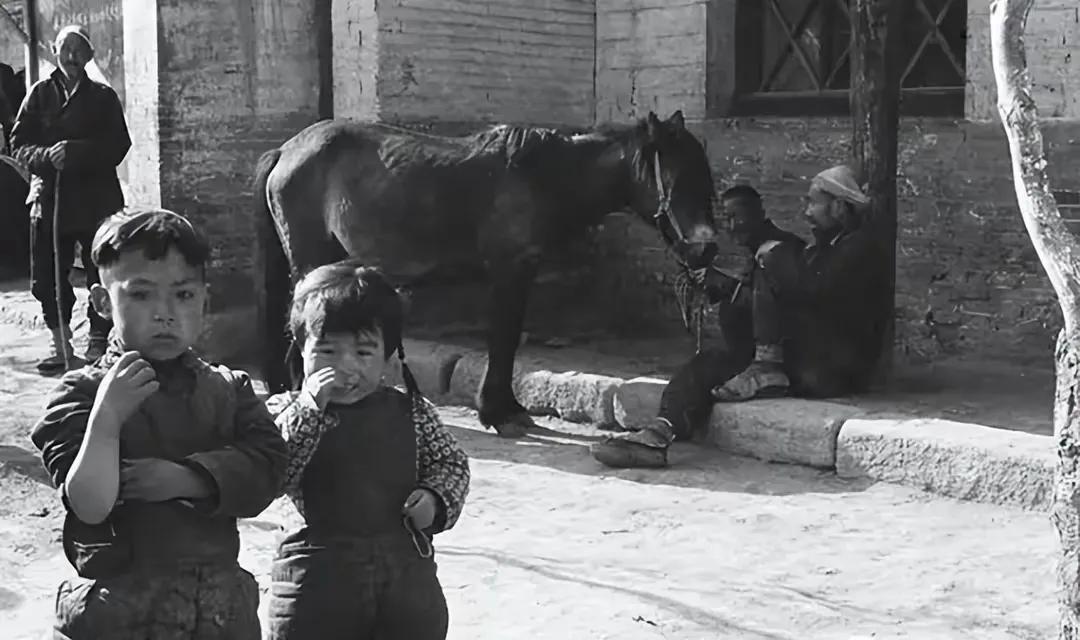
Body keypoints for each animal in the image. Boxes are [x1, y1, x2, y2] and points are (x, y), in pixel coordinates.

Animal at [255, 110, 721, 436]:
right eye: (676, 179)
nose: (706, 248)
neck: (543, 177)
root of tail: (287, 151)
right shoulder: (510, 273)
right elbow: (504, 340)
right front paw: (499, 413)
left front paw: (506, 408)